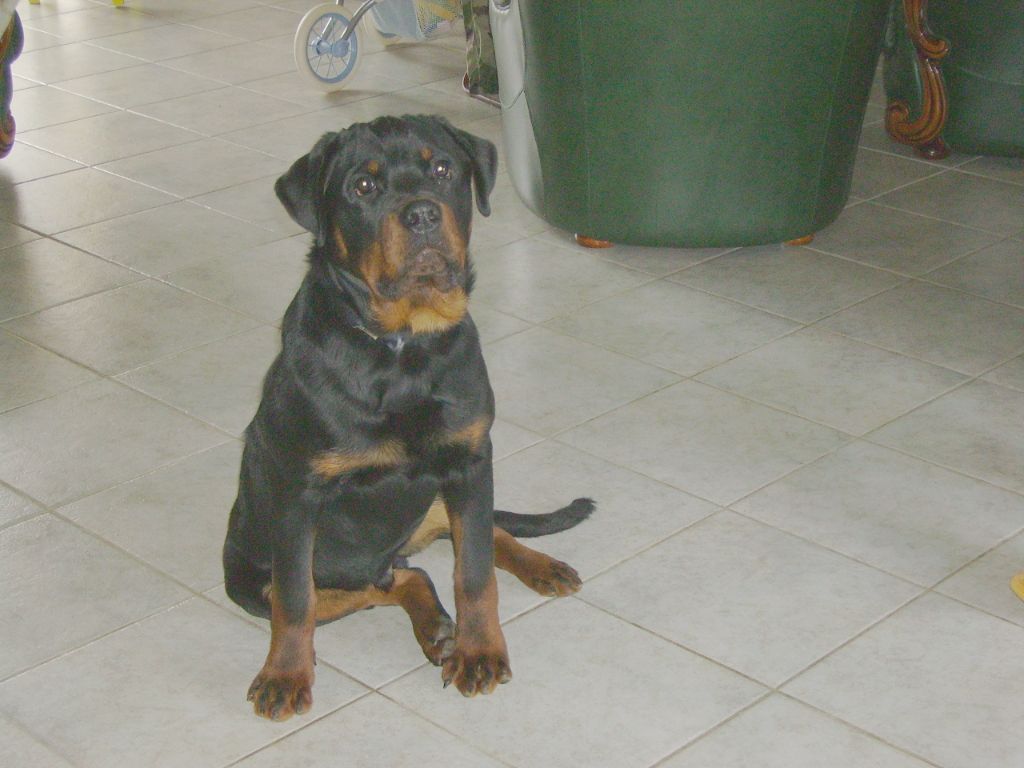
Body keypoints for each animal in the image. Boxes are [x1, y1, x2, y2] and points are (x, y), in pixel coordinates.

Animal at [223, 114, 593, 721]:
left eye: (442, 168)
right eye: (362, 186)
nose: (421, 214)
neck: (403, 347)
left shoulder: (470, 459)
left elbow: (474, 571)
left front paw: (479, 651)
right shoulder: (299, 491)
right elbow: (296, 602)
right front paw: (285, 676)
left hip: (441, 497)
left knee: (463, 543)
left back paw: (535, 569)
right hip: (251, 580)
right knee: (383, 581)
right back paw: (435, 627)